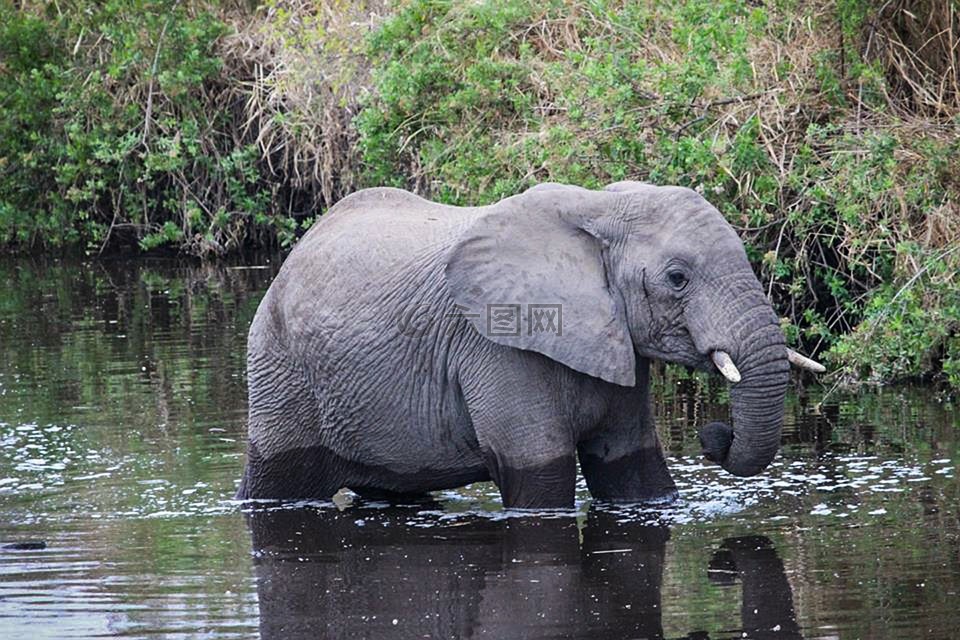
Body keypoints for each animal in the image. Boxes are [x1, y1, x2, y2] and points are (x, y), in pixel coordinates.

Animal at [236, 182, 820, 508]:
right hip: (280, 370)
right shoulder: (495, 347)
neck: (600, 210)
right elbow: (541, 478)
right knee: (275, 482)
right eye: (678, 279)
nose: (713, 434)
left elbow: (633, 473)